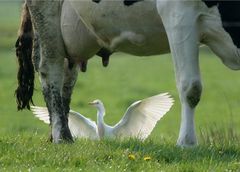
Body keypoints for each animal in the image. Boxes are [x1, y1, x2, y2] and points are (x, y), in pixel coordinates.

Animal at [15, 0, 240, 146]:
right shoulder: (178, 12)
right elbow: (191, 87)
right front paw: (187, 142)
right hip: (47, 15)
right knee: (49, 68)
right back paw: (62, 136)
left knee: (67, 79)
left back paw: (57, 134)